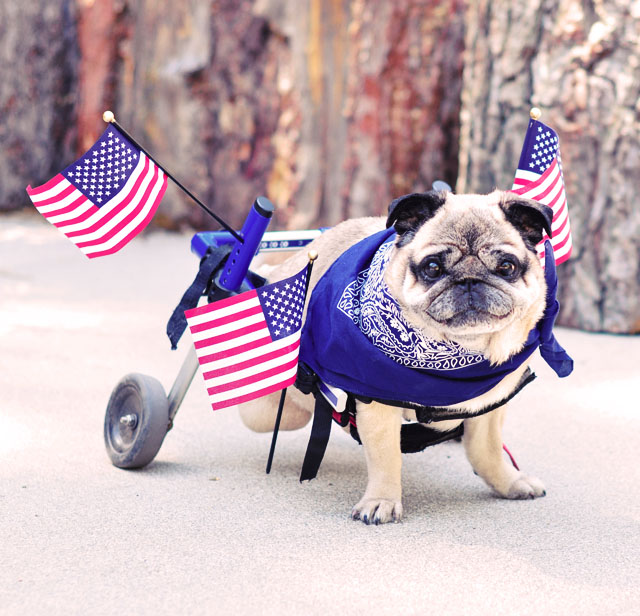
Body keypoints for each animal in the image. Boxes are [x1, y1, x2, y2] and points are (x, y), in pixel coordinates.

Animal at [238, 189, 552, 524]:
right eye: (432, 268)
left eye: (506, 267)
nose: (468, 280)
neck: (458, 356)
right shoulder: (378, 407)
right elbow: (386, 458)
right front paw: (382, 500)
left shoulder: (490, 406)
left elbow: (487, 451)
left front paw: (510, 483)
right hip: (271, 412)